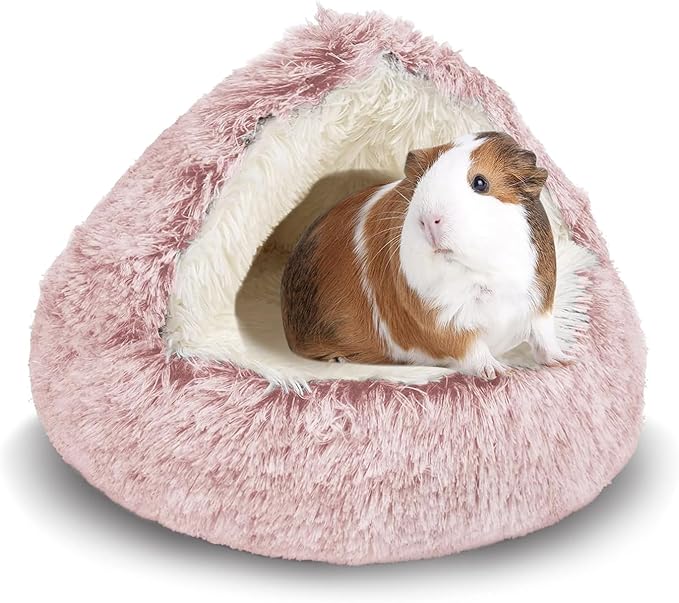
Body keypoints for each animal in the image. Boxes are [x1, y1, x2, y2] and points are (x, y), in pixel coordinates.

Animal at [280, 131, 568, 379]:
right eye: (420, 183)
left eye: (480, 183)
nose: (429, 220)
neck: (480, 273)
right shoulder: (445, 321)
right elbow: (471, 349)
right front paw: (496, 372)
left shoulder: (539, 306)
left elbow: (545, 338)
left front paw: (565, 361)